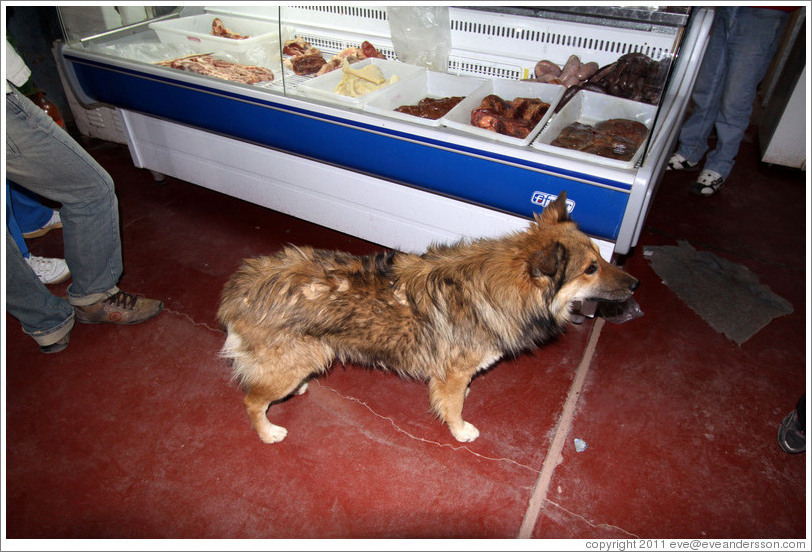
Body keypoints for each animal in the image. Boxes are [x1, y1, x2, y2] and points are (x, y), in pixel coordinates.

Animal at [219, 194, 636, 444]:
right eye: (591, 268)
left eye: (600, 256)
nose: (636, 283)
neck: (498, 288)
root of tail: (241, 290)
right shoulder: (452, 373)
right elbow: (452, 407)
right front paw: (460, 429)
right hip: (298, 360)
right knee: (251, 400)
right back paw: (268, 432)